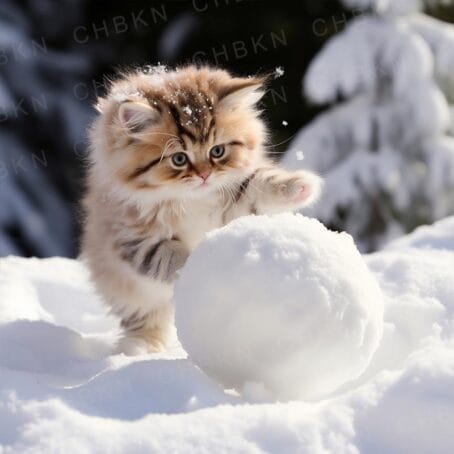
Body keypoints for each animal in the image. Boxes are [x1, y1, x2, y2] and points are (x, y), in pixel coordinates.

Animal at [82, 65, 322, 352]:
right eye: (179, 159)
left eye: (217, 152)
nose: (205, 175)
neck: (187, 200)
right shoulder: (132, 238)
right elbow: (171, 259)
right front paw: (194, 271)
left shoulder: (233, 202)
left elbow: (260, 183)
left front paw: (301, 186)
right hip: (127, 290)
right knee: (146, 320)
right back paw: (140, 349)